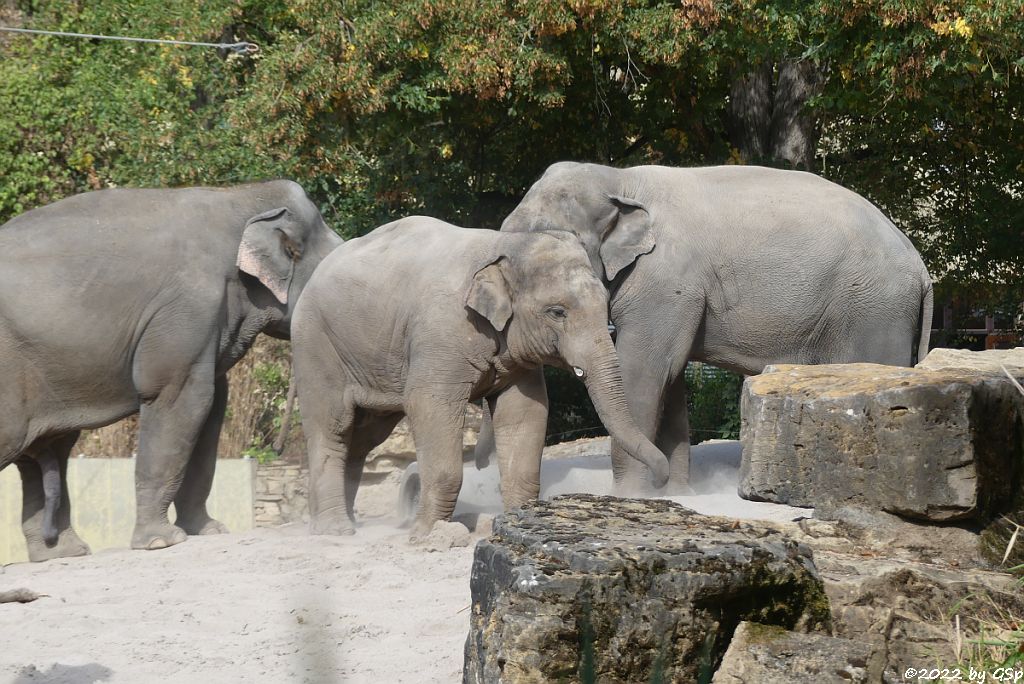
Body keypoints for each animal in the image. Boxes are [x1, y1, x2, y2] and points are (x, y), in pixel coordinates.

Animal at [0, 180, 344, 561]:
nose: (280, 449)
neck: (239, 197)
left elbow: (211, 410)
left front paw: (208, 531)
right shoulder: (188, 308)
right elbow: (181, 398)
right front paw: (161, 542)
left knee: (46, 449)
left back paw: (64, 553)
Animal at [290, 216, 671, 536]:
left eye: (605, 303)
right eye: (557, 312)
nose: (661, 480)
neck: (504, 246)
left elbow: (524, 412)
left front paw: (518, 522)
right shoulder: (440, 334)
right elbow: (429, 404)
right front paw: (428, 534)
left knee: (363, 438)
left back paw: (335, 523)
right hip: (316, 348)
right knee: (333, 427)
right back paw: (336, 531)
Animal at [487, 163, 937, 497]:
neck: (618, 178)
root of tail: (921, 267)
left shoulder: (666, 282)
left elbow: (644, 372)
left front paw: (629, 496)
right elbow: (669, 380)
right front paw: (675, 493)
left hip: (874, 312)